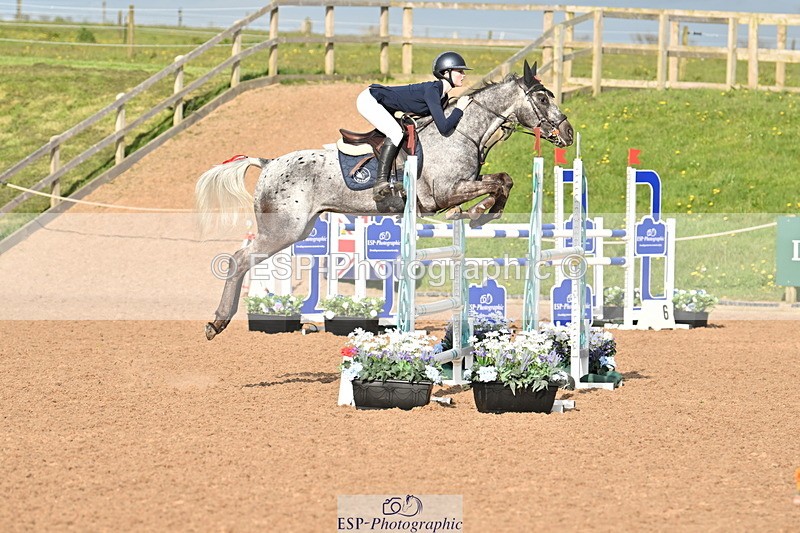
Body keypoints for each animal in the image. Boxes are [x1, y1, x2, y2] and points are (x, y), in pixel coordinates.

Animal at [195, 60, 573, 340]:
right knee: (239, 259)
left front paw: (481, 214)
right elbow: (497, 183)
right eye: (542, 99)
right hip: (283, 229)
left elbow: (503, 181)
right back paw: (217, 322)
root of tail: (269, 162)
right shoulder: (444, 192)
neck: (461, 132)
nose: (568, 133)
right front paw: (480, 212)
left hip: (296, 230)